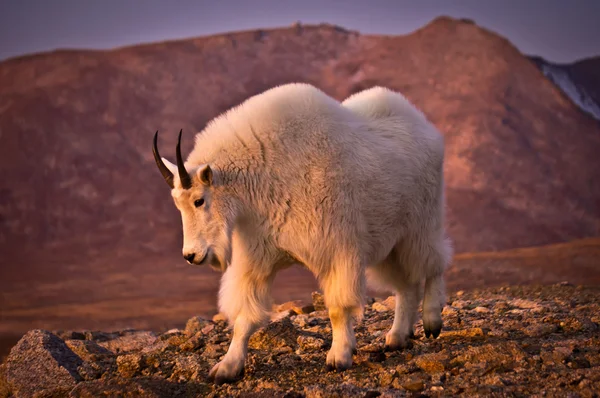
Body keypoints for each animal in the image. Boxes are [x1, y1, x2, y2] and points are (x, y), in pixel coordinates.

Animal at [152, 83, 452, 382]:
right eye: (178, 204)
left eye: (199, 200)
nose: (191, 255)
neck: (265, 173)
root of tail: (425, 125)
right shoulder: (258, 255)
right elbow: (244, 316)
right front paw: (227, 366)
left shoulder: (338, 248)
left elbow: (337, 309)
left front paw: (339, 356)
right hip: (389, 241)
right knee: (406, 284)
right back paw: (397, 336)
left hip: (421, 224)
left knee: (434, 263)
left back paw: (431, 322)